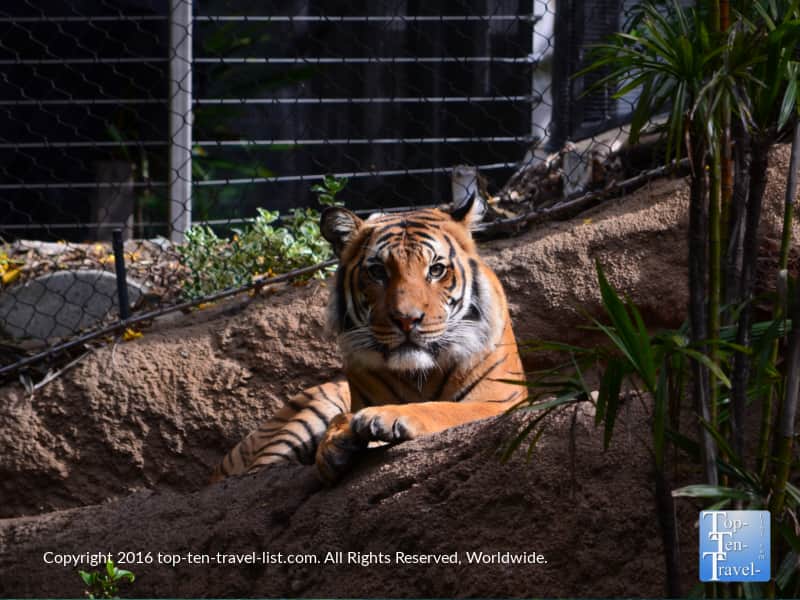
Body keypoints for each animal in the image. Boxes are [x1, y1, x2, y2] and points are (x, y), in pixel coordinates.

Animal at [210, 193, 527, 484]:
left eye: (436, 269)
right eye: (377, 271)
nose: (407, 319)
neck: (418, 375)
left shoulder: (500, 402)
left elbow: (443, 408)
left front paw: (385, 417)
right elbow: (343, 419)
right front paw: (337, 441)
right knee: (258, 474)